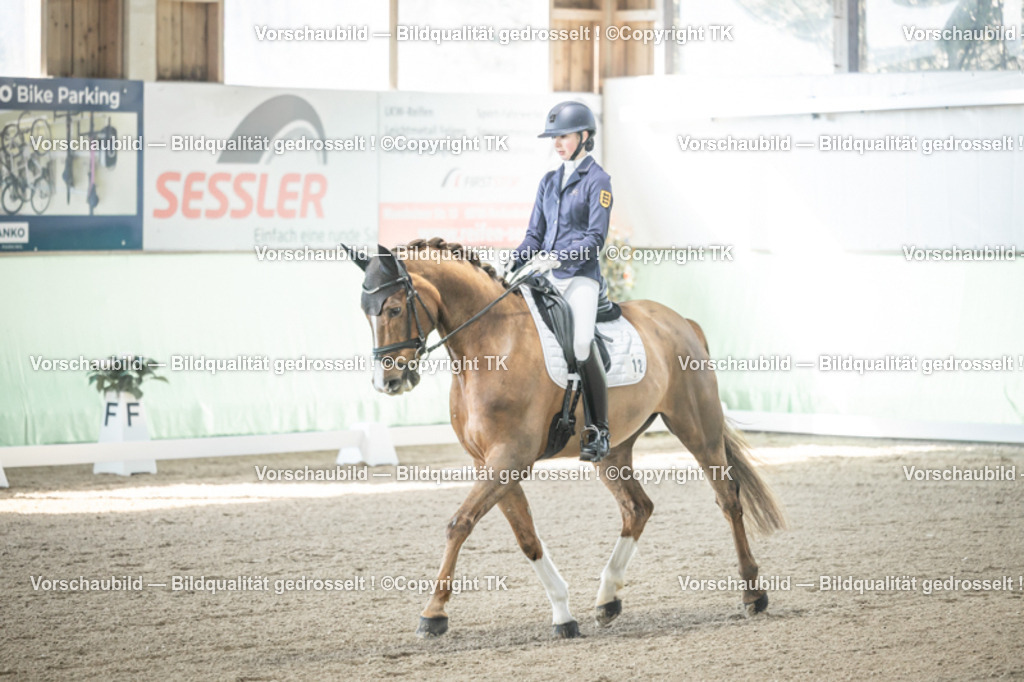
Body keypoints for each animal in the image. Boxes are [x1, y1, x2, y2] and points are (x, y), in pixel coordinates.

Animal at [342, 238, 786, 638]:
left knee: (728, 498)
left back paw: (753, 594)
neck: (489, 346)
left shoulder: (508, 459)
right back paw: (607, 599)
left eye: (394, 308)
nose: (388, 381)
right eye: (365, 313)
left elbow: (459, 524)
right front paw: (563, 614)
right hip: (613, 450)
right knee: (638, 508)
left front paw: (433, 613)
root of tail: (681, 321)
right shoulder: (492, 462)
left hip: (698, 430)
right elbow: (526, 537)